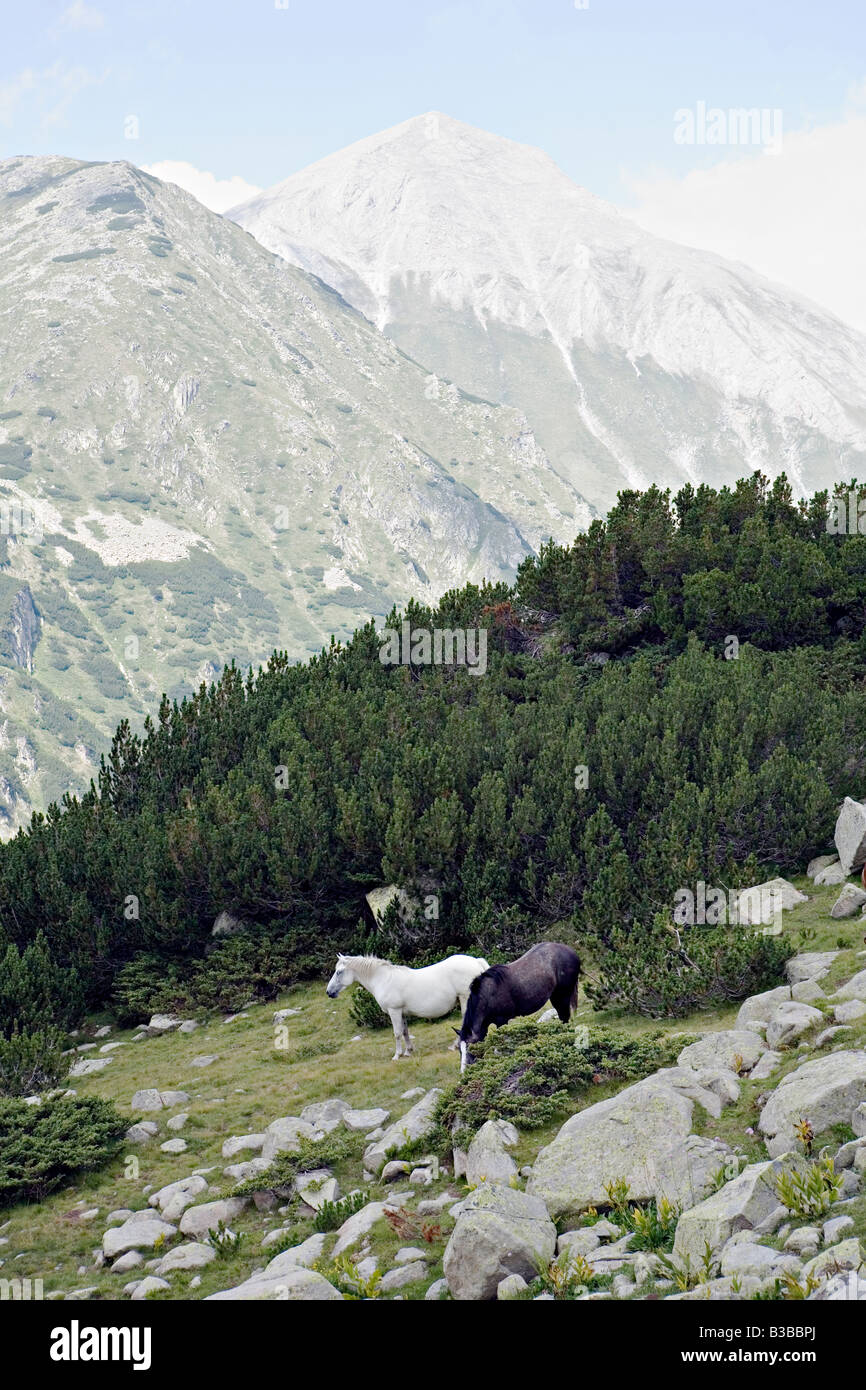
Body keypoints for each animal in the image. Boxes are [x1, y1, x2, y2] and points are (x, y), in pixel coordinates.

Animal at [326, 950, 492, 1056]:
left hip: (465, 998)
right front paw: (408, 1051)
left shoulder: (394, 1011)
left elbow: (397, 1033)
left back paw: (456, 1045)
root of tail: (476, 961)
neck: (383, 980)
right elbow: (405, 1032)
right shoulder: (402, 1012)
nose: (329, 992)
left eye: (339, 972)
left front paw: (397, 1055)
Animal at [453, 945, 583, 1073]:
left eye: (470, 1047)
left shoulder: (502, 1021)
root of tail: (571, 952)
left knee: (564, 1016)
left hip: (562, 995)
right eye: (459, 1049)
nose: (463, 1072)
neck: (488, 995)